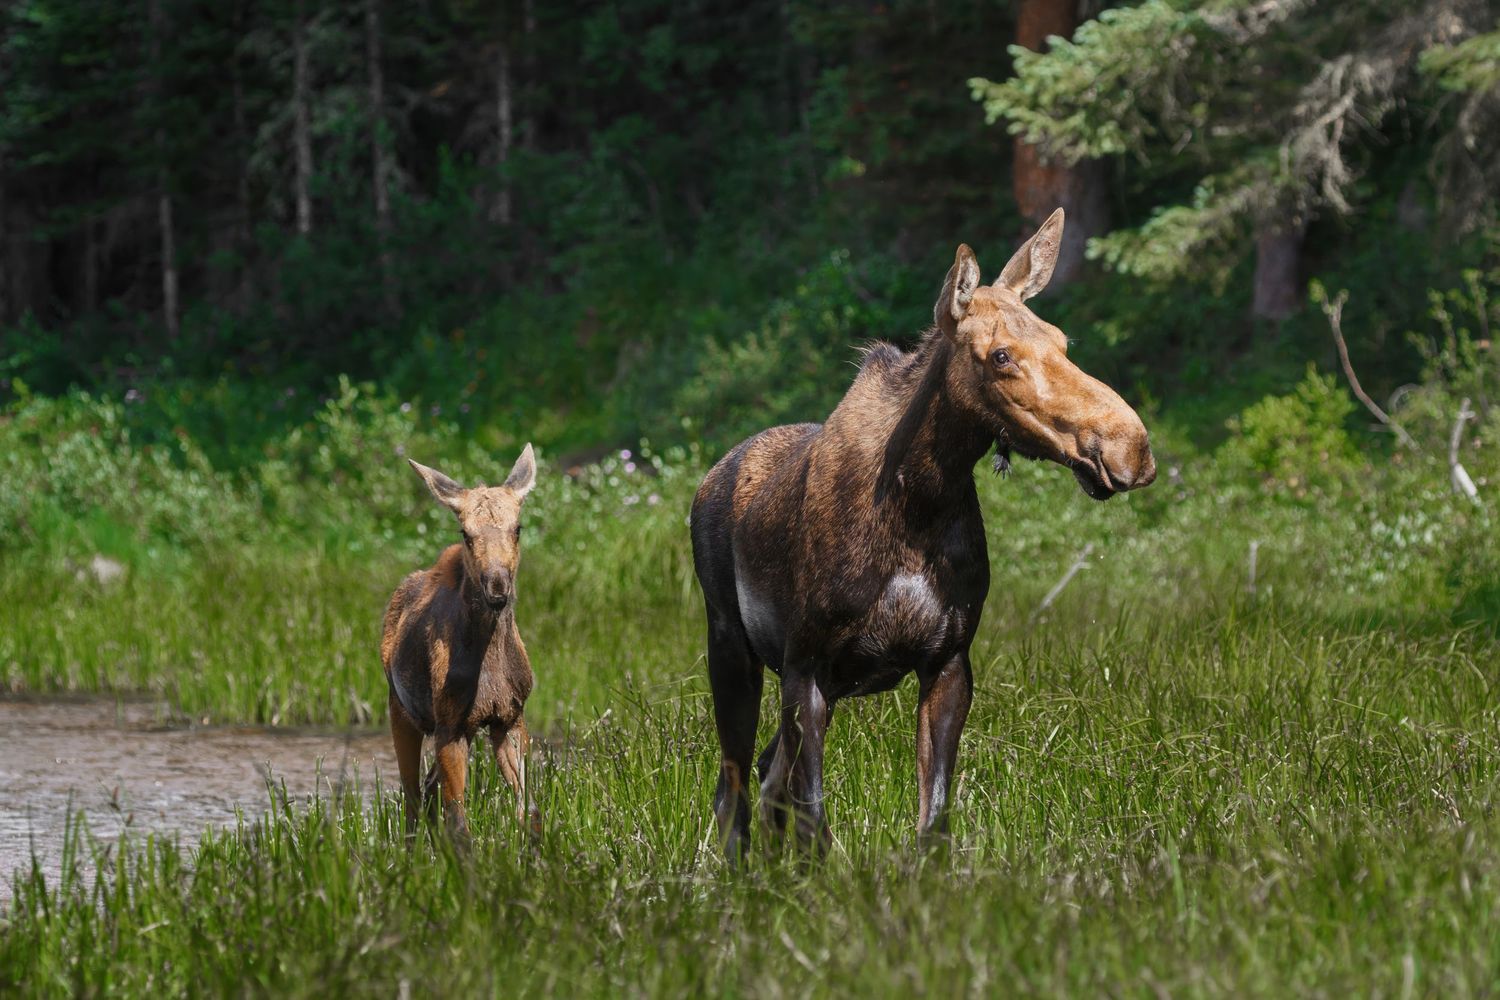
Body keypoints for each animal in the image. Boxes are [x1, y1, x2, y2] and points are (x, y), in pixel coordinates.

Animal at [381, 445, 541, 843]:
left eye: (518, 528)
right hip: (403, 712)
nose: (497, 586)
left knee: (426, 791)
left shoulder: (510, 718)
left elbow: (528, 809)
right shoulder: (451, 726)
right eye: (466, 533)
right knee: (411, 800)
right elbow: (459, 823)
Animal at [690, 209, 1156, 861]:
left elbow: (932, 822)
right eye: (1001, 355)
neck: (920, 502)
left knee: (763, 775)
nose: (1129, 446)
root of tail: (710, 479)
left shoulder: (948, 661)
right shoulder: (807, 666)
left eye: (1062, 341)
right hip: (732, 647)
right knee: (733, 789)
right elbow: (816, 825)